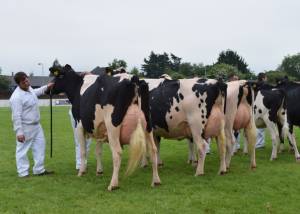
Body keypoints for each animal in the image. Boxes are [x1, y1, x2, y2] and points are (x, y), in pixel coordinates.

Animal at [49, 61, 162, 191]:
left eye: (57, 76)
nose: (49, 88)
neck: (77, 87)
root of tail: (133, 78)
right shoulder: (100, 128)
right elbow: (98, 151)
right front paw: (99, 171)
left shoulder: (79, 125)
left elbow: (83, 151)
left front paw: (81, 172)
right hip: (148, 125)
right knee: (153, 149)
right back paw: (156, 181)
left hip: (112, 126)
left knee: (117, 152)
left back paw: (113, 184)